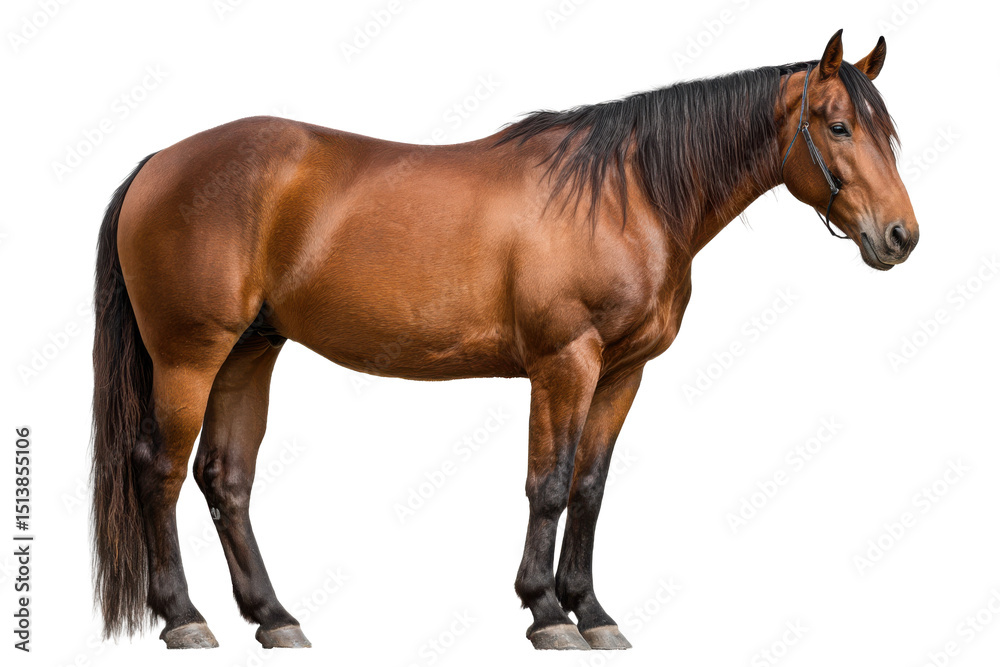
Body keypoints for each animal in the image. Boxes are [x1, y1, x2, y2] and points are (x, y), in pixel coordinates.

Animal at [91, 30, 918, 651]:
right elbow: (546, 484)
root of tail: (158, 162)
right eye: (838, 126)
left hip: (250, 352)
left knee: (225, 478)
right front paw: (546, 612)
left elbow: (589, 487)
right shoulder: (566, 362)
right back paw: (184, 616)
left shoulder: (622, 373)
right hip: (189, 356)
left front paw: (592, 611)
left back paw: (274, 617)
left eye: (890, 133)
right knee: (159, 469)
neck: (627, 193)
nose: (900, 236)